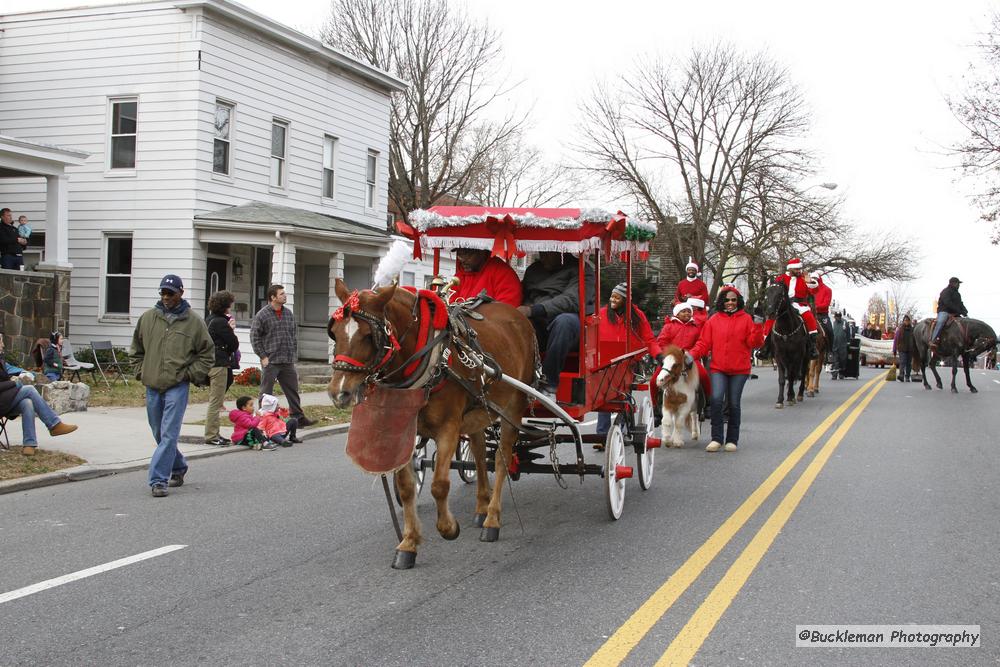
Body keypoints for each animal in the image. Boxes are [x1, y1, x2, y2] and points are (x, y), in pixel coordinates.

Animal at [326, 280, 540, 568]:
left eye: (369, 336)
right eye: (335, 333)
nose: (338, 393)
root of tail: (519, 317)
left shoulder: (448, 428)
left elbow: (440, 485)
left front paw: (448, 528)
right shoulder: (406, 429)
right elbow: (406, 489)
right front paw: (408, 543)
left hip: (514, 408)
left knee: (502, 459)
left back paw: (492, 519)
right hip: (477, 411)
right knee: (480, 455)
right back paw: (481, 508)